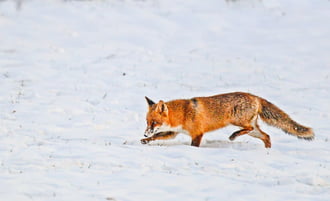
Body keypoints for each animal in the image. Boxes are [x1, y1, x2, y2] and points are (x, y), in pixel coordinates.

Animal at [141, 92, 314, 148]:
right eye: (147, 122)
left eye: (154, 122)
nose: (144, 134)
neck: (183, 114)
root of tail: (254, 96)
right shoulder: (173, 132)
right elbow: (157, 136)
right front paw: (145, 141)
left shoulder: (197, 133)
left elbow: (194, 146)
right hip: (253, 130)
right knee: (267, 136)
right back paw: (267, 152)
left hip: (238, 121)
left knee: (249, 129)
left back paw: (234, 135)